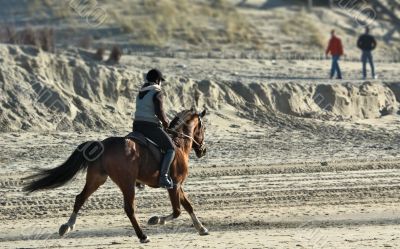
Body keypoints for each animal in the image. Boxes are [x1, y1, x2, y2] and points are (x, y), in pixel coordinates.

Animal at [22, 108, 209, 243]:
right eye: (203, 127)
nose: (203, 150)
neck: (178, 143)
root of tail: (103, 144)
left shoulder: (178, 186)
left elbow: (188, 206)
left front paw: (201, 228)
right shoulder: (174, 185)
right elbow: (177, 211)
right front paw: (156, 219)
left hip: (97, 179)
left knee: (80, 198)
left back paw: (67, 226)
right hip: (127, 183)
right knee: (129, 209)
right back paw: (142, 236)